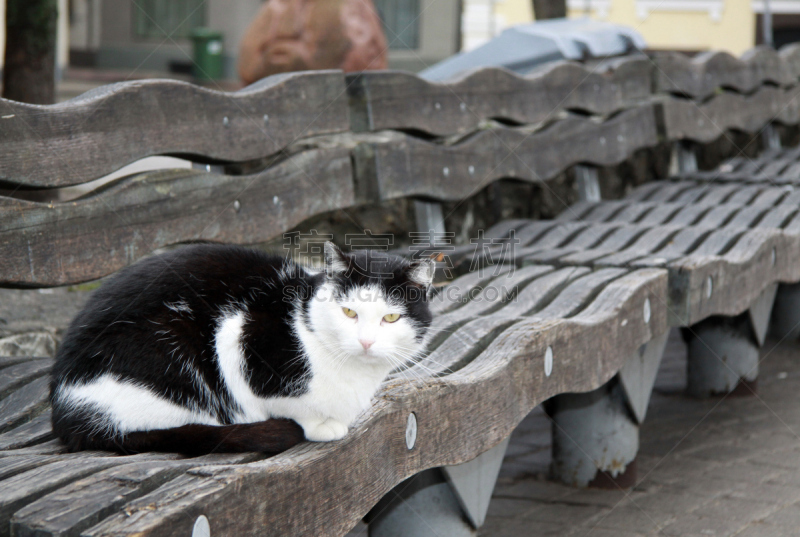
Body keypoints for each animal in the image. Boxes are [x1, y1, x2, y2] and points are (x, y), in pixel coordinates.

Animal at [50, 241, 434, 454]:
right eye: (349, 312)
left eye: (390, 318)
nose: (366, 342)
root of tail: (63, 408)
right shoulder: (239, 331)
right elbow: (291, 404)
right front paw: (322, 425)